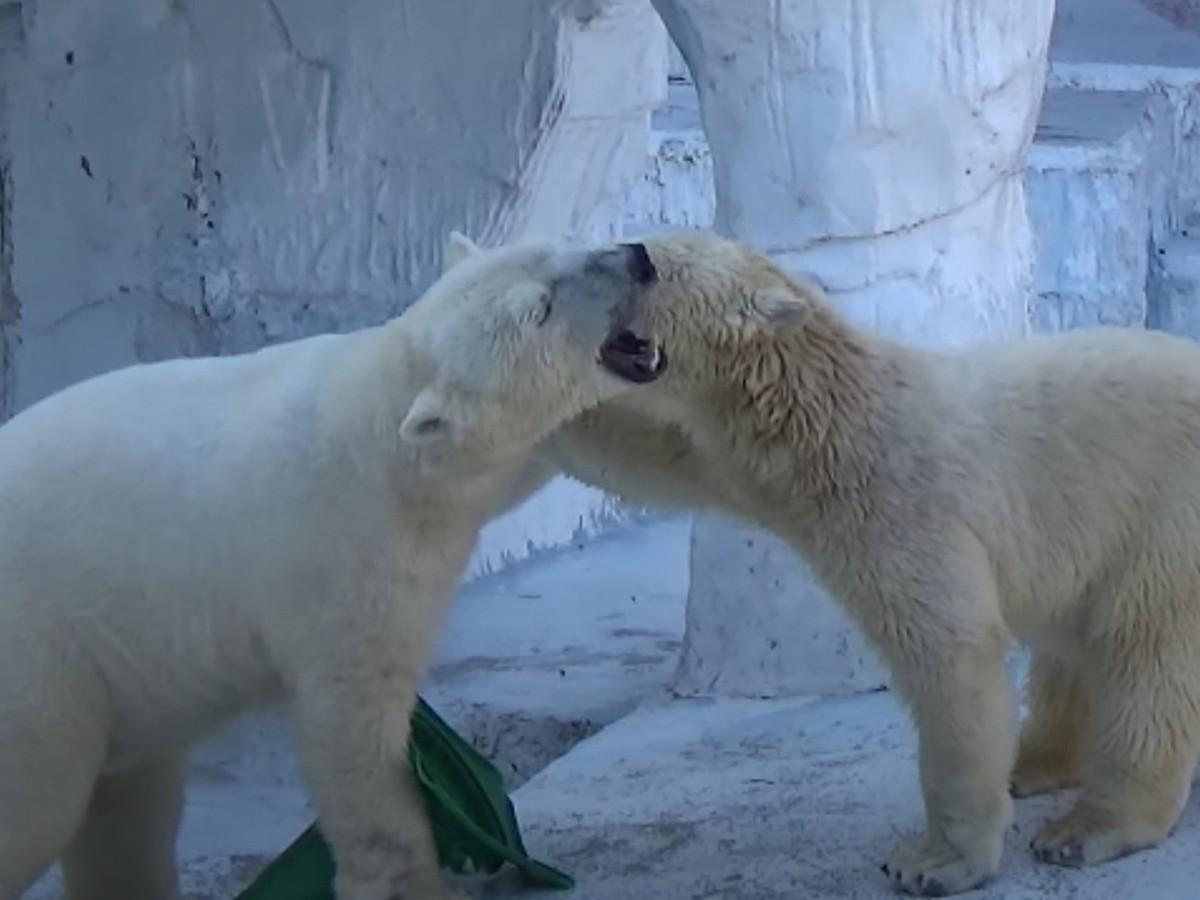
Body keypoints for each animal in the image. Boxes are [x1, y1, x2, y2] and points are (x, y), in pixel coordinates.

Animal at [0, 234, 667, 900]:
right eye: (539, 310)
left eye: (552, 246)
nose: (637, 256)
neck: (384, 447)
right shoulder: (345, 558)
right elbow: (352, 722)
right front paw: (406, 876)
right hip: (42, 662)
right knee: (45, 805)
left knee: (131, 811)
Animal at [451, 229, 1200, 897]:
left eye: (656, 261)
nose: (628, 252)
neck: (829, 417)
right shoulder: (736, 465)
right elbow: (632, 453)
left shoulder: (905, 501)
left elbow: (950, 651)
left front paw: (933, 863)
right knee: (1072, 643)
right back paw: (1034, 760)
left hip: (1163, 512)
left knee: (1144, 652)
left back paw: (1091, 826)